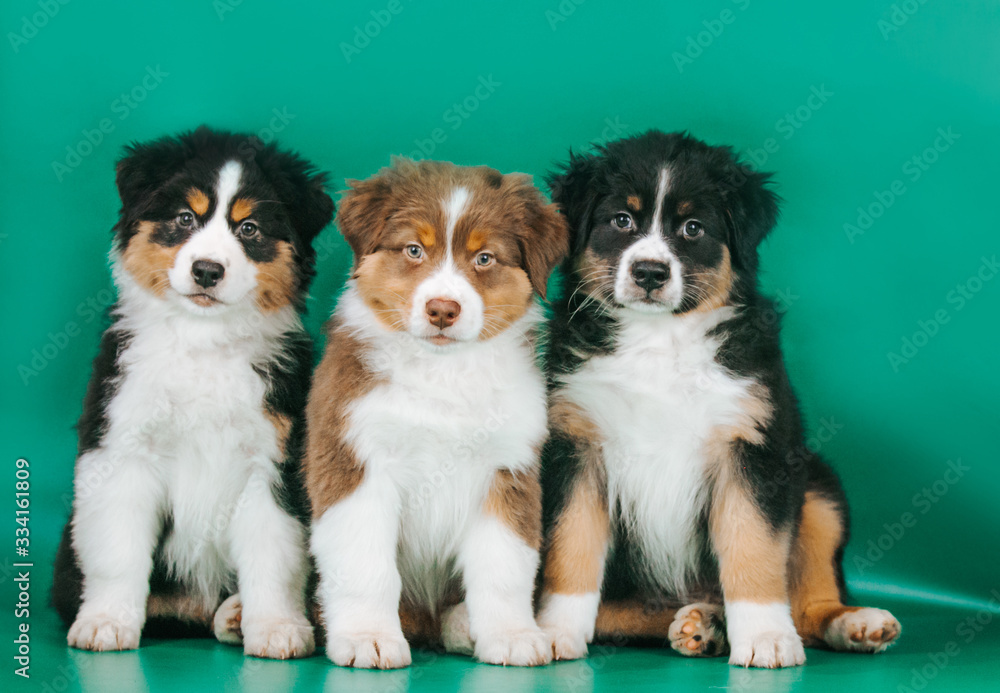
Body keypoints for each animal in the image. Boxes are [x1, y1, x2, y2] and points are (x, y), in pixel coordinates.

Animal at [52, 125, 334, 660]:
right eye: (185, 218)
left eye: (249, 229)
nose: (207, 270)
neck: (204, 342)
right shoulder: (123, 447)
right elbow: (118, 549)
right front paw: (105, 622)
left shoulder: (273, 461)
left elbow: (274, 552)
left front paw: (277, 628)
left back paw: (235, 613)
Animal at [536, 130, 904, 664]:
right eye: (621, 220)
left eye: (693, 228)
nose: (650, 272)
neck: (658, 342)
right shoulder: (576, 445)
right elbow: (571, 548)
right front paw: (556, 629)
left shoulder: (752, 445)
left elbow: (753, 549)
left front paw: (766, 638)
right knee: (625, 611)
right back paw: (703, 623)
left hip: (819, 488)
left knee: (808, 603)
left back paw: (853, 623)